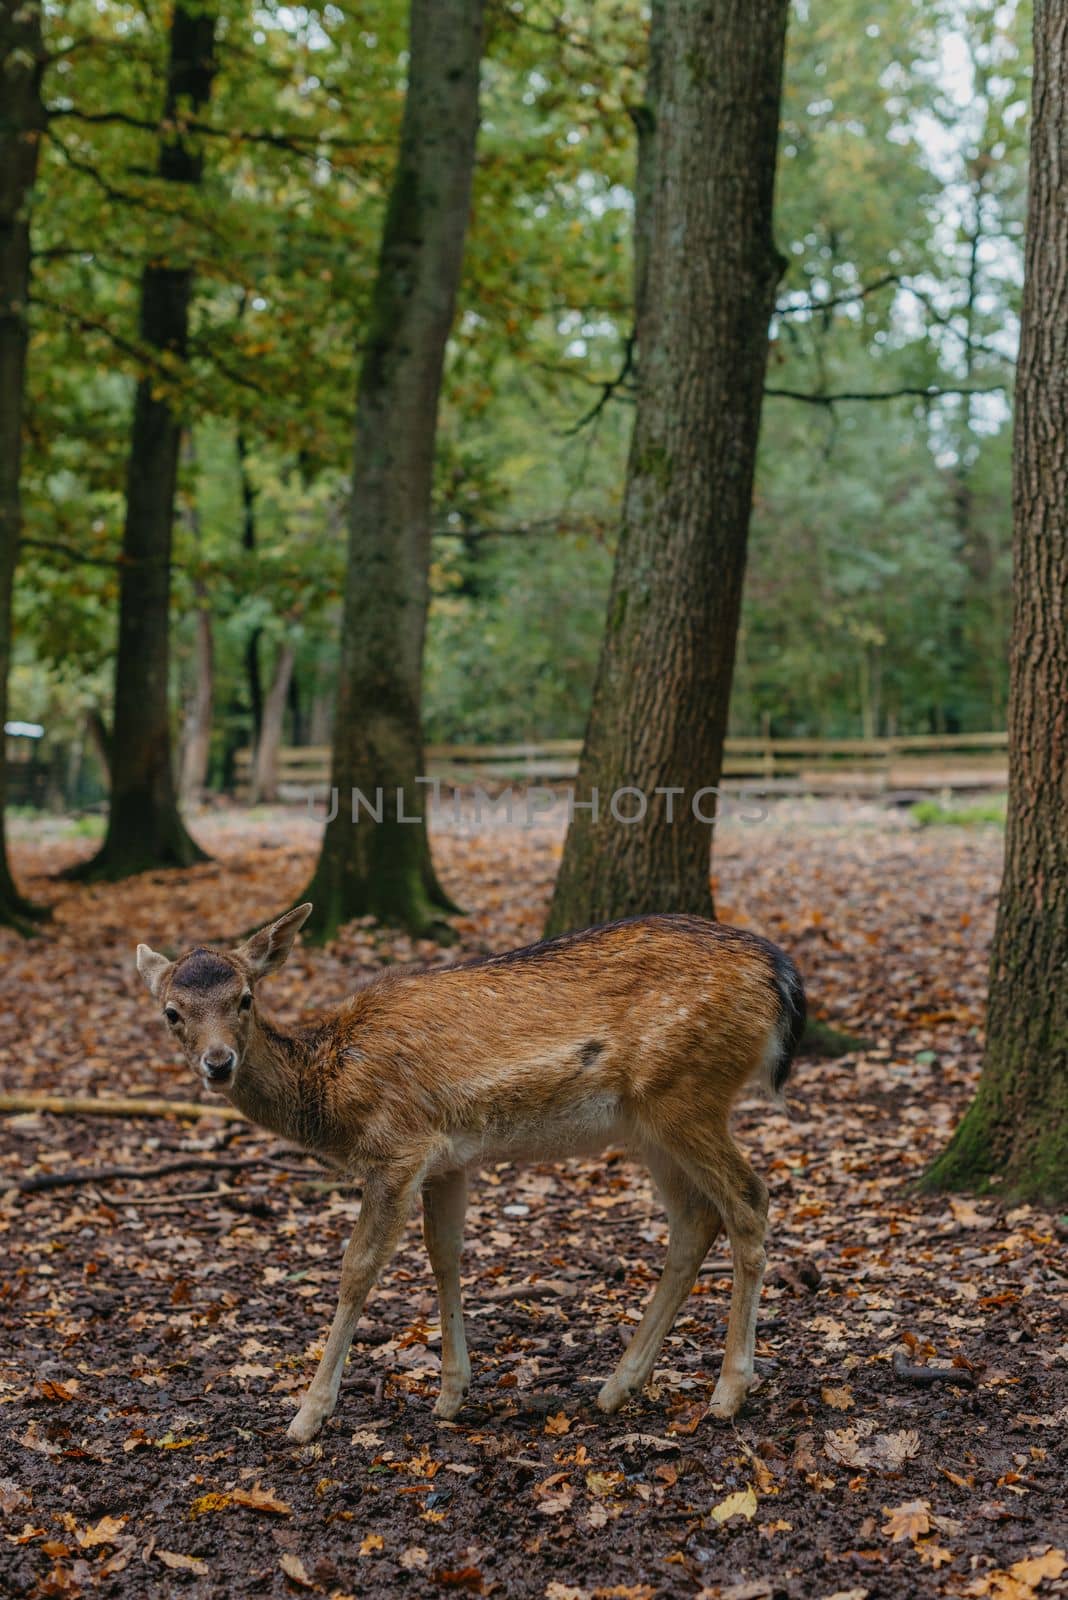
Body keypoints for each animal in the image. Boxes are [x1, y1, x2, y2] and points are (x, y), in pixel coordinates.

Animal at [135, 908, 799, 1446]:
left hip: (687, 1093)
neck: (332, 1092)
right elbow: (445, 1255)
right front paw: (451, 1395)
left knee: (749, 1198)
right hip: (649, 1124)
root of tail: (781, 979)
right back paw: (619, 1385)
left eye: (245, 998)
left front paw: (307, 1416)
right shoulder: (445, 1161)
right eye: (171, 1012)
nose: (218, 1063)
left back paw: (728, 1392)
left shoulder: (397, 1148)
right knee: (694, 1217)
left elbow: (357, 1269)